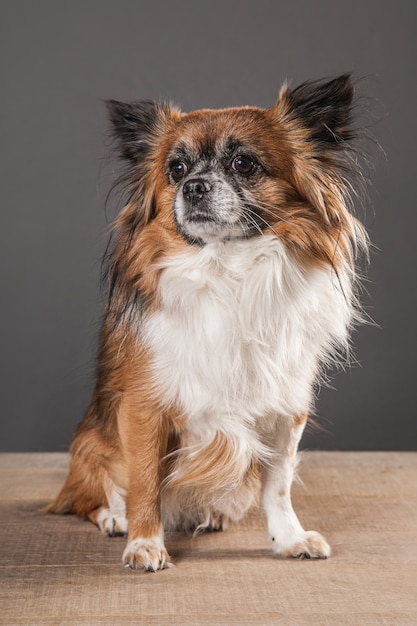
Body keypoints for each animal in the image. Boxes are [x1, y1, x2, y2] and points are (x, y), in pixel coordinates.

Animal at [48, 74, 368, 572]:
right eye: (176, 169)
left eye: (243, 163)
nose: (195, 186)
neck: (226, 269)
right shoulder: (144, 407)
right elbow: (144, 481)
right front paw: (144, 543)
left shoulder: (284, 409)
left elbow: (278, 486)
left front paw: (289, 538)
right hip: (91, 448)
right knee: (92, 495)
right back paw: (115, 518)